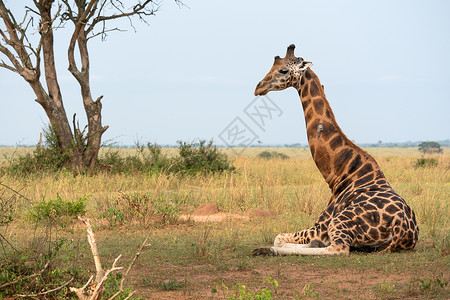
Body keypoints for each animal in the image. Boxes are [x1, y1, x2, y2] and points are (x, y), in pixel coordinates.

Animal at [253, 44, 418, 255]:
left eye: (283, 70)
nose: (258, 87)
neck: (339, 174)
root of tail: (402, 230)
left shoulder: (320, 226)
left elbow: (279, 237)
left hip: (339, 222)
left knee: (337, 249)